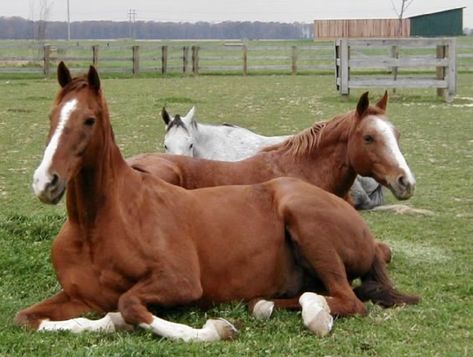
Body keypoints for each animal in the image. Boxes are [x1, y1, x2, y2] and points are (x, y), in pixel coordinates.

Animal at [15, 62, 416, 340]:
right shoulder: (82, 296)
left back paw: (309, 311)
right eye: (369, 137)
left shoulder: (179, 280)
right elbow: (28, 318)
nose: (45, 181)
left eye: (89, 120)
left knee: (347, 298)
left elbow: (128, 305)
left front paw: (216, 328)